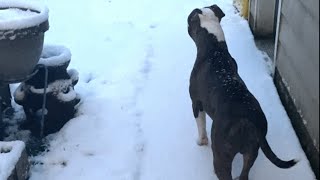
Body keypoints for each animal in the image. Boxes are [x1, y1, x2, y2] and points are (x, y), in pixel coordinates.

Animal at [188, 3, 298, 180]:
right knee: (245, 173)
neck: (214, 48)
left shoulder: (196, 103)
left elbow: (201, 126)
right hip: (252, 152)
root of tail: (247, 121)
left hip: (222, 155)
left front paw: (200, 141)